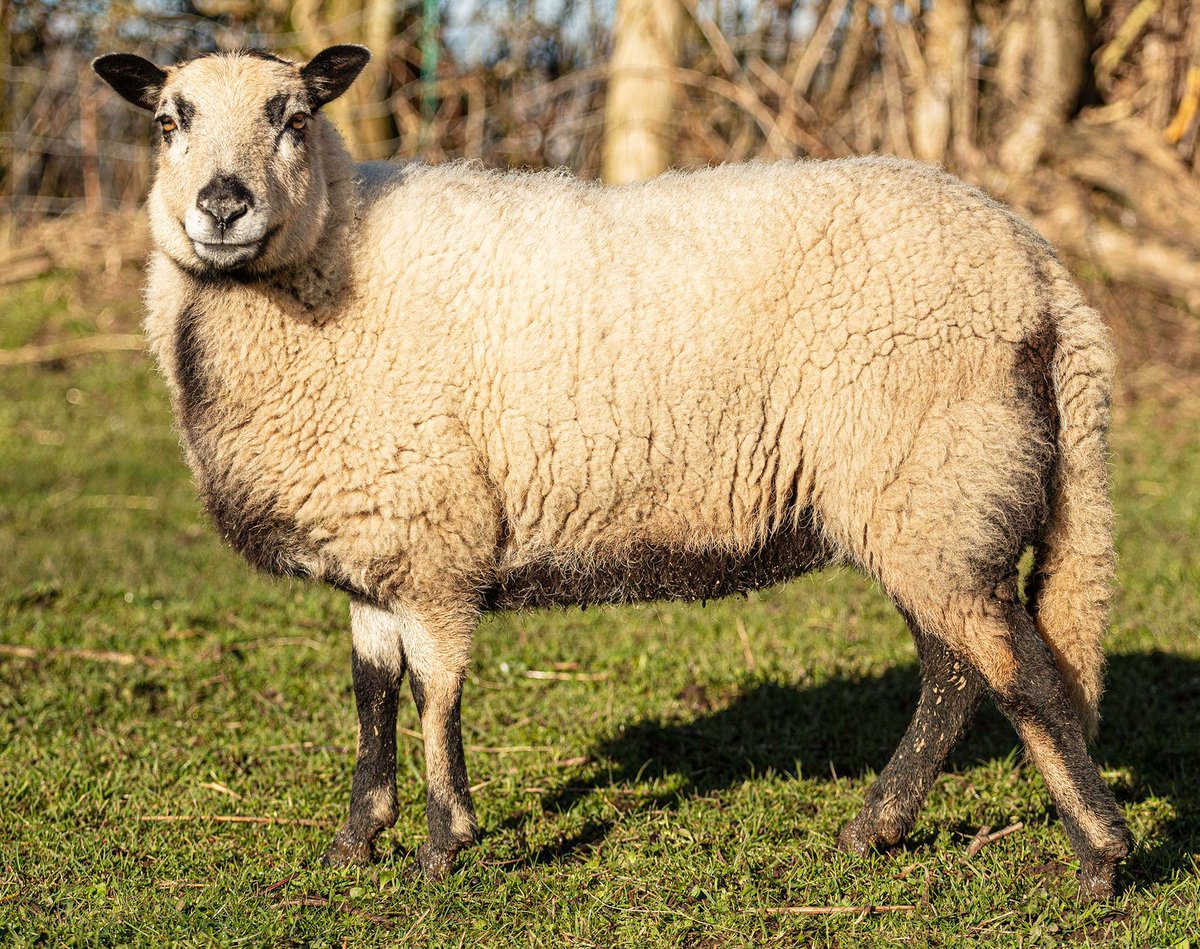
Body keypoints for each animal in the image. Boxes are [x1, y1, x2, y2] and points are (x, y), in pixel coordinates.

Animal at [93, 45, 1131, 899]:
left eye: (296, 118)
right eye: (168, 120)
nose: (223, 205)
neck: (328, 264)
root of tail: (1045, 275)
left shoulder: (435, 541)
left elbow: (435, 692)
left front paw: (443, 845)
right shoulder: (377, 532)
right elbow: (372, 692)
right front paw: (356, 841)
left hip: (935, 481)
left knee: (1021, 673)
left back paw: (1101, 859)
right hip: (927, 499)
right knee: (957, 673)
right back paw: (874, 830)